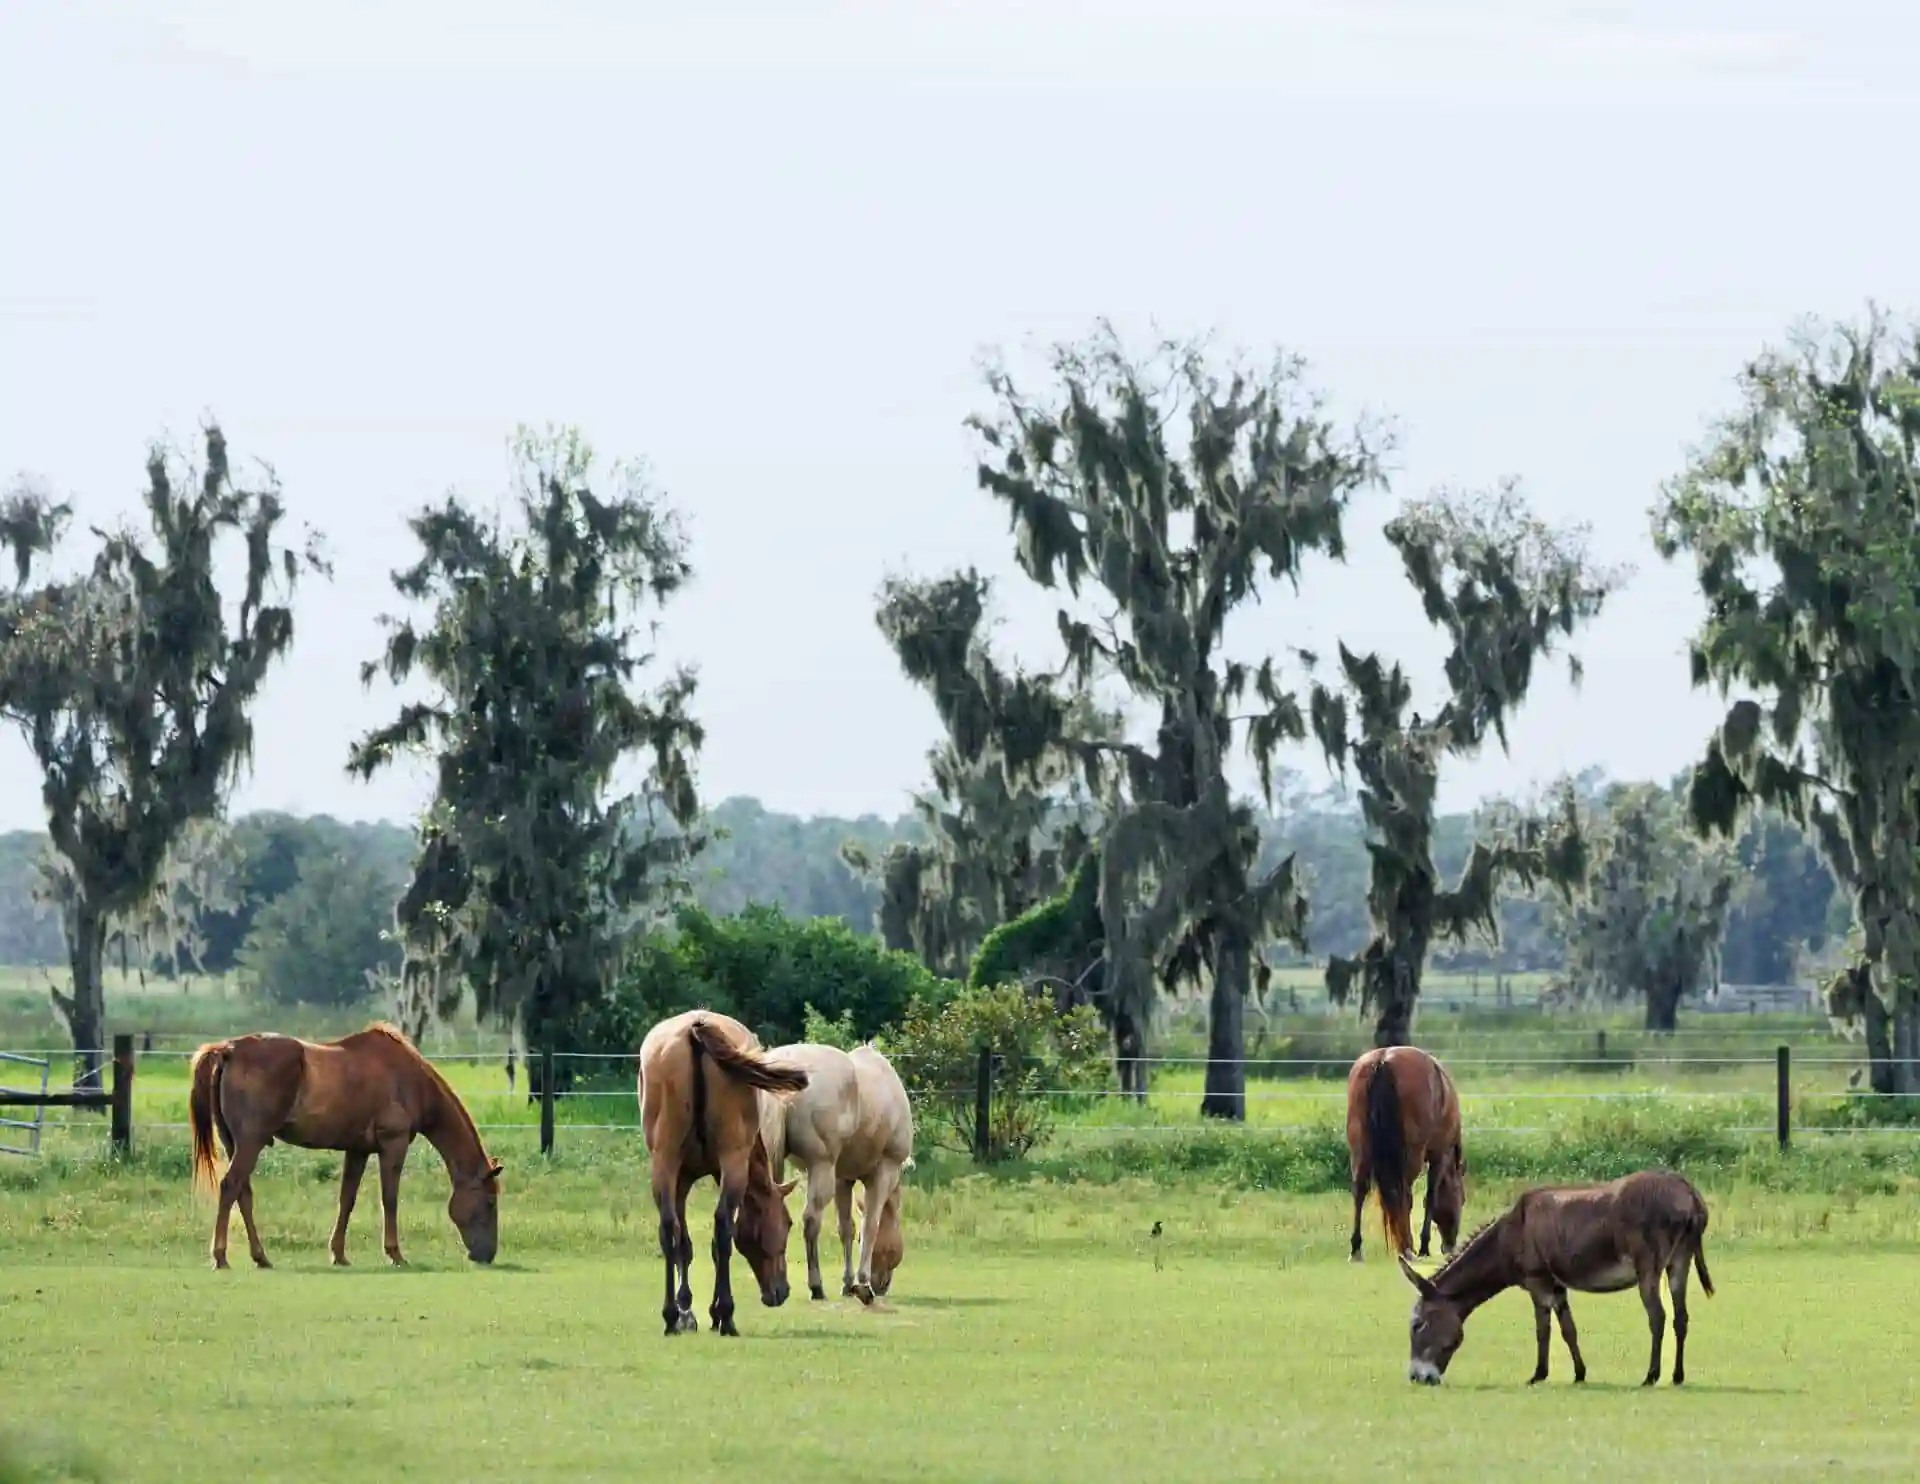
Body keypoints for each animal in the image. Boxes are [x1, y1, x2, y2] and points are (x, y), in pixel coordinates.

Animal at [187, 1022, 503, 1270]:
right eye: (489, 1201)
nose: (487, 1255)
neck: (407, 1078)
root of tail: (228, 1050)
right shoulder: (393, 1144)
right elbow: (389, 1199)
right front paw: (395, 1253)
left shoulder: (357, 1150)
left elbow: (347, 1200)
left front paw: (338, 1254)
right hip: (250, 1143)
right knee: (231, 1186)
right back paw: (220, 1256)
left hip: (235, 1143)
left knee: (243, 1193)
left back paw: (261, 1257)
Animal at [637, 1010, 806, 1337]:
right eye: (788, 1222)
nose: (782, 1291)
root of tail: (695, 1030)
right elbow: (717, 1244)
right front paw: (712, 1312)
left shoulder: (681, 1178)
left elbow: (682, 1242)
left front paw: (684, 1311)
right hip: (732, 1161)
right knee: (723, 1228)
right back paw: (726, 1316)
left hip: (664, 1161)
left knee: (668, 1228)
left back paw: (670, 1317)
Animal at [757, 1040, 915, 1304]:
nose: (881, 1284)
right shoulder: (884, 1172)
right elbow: (870, 1225)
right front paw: (862, 1284)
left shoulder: (843, 1179)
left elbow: (847, 1229)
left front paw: (848, 1283)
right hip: (821, 1167)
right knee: (811, 1220)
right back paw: (816, 1286)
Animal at [1345, 1044, 1464, 1262]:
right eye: (1461, 1197)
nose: (1450, 1246)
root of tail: (1382, 1061)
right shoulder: (1439, 1155)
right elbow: (1430, 1197)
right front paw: (1424, 1246)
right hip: (1410, 1156)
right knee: (1403, 1194)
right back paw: (1407, 1247)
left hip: (1360, 1150)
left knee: (1359, 1190)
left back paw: (1356, 1249)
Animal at [1399, 1169, 1715, 1387]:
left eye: (1417, 1325)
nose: (1417, 1377)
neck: (1508, 1237)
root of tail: (1689, 1192)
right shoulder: (1557, 1285)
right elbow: (1568, 1329)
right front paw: (1579, 1373)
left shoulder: (1537, 1282)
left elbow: (1543, 1330)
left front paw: (1538, 1375)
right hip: (1679, 1261)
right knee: (1681, 1317)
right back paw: (1677, 1376)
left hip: (1649, 1266)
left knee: (1657, 1317)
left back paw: (1651, 1375)